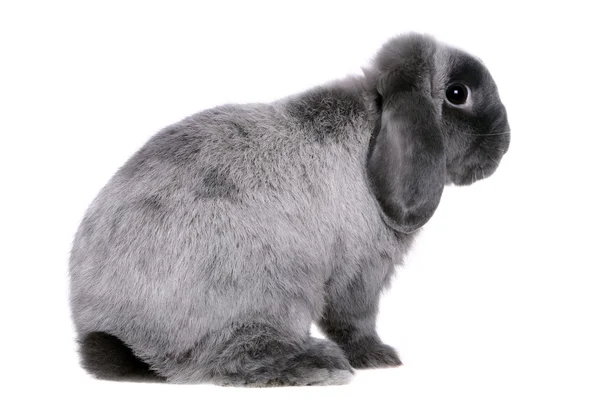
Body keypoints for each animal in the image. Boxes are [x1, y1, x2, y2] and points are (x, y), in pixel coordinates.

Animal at [70, 34, 510, 388]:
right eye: (458, 93)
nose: (504, 143)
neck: (373, 125)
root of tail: (112, 325)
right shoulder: (361, 272)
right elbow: (354, 319)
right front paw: (378, 357)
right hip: (272, 289)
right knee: (225, 360)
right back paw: (318, 365)